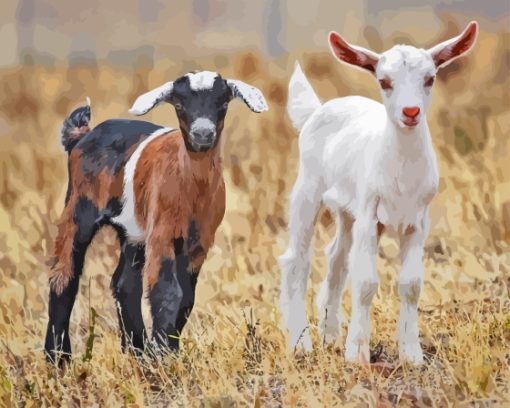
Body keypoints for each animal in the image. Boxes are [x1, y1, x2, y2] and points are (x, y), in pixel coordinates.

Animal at [45, 71, 268, 364]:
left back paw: (136, 351)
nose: (202, 133)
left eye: (223, 103)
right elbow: (167, 291)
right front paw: (163, 355)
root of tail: (81, 136)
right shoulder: (162, 231)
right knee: (64, 274)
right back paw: (58, 357)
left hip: (133, 231)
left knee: (125, 284)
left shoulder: (199, 241)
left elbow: (187, 297)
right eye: (179, 105)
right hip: (79, 207)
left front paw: (167, 351)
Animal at [278, 21, 478, 364]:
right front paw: (358, 353)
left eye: (430, 78)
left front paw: (411, 355)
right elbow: (366, 282)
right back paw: (301, 344)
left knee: (336, 260)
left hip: (347, 212)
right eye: (384, 81)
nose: (410, 111)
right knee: (297, 262)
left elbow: (411, 284)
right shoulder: (370, 217)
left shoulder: (416, 222)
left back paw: (329, 336)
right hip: (308, 190)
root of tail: (317, 110)